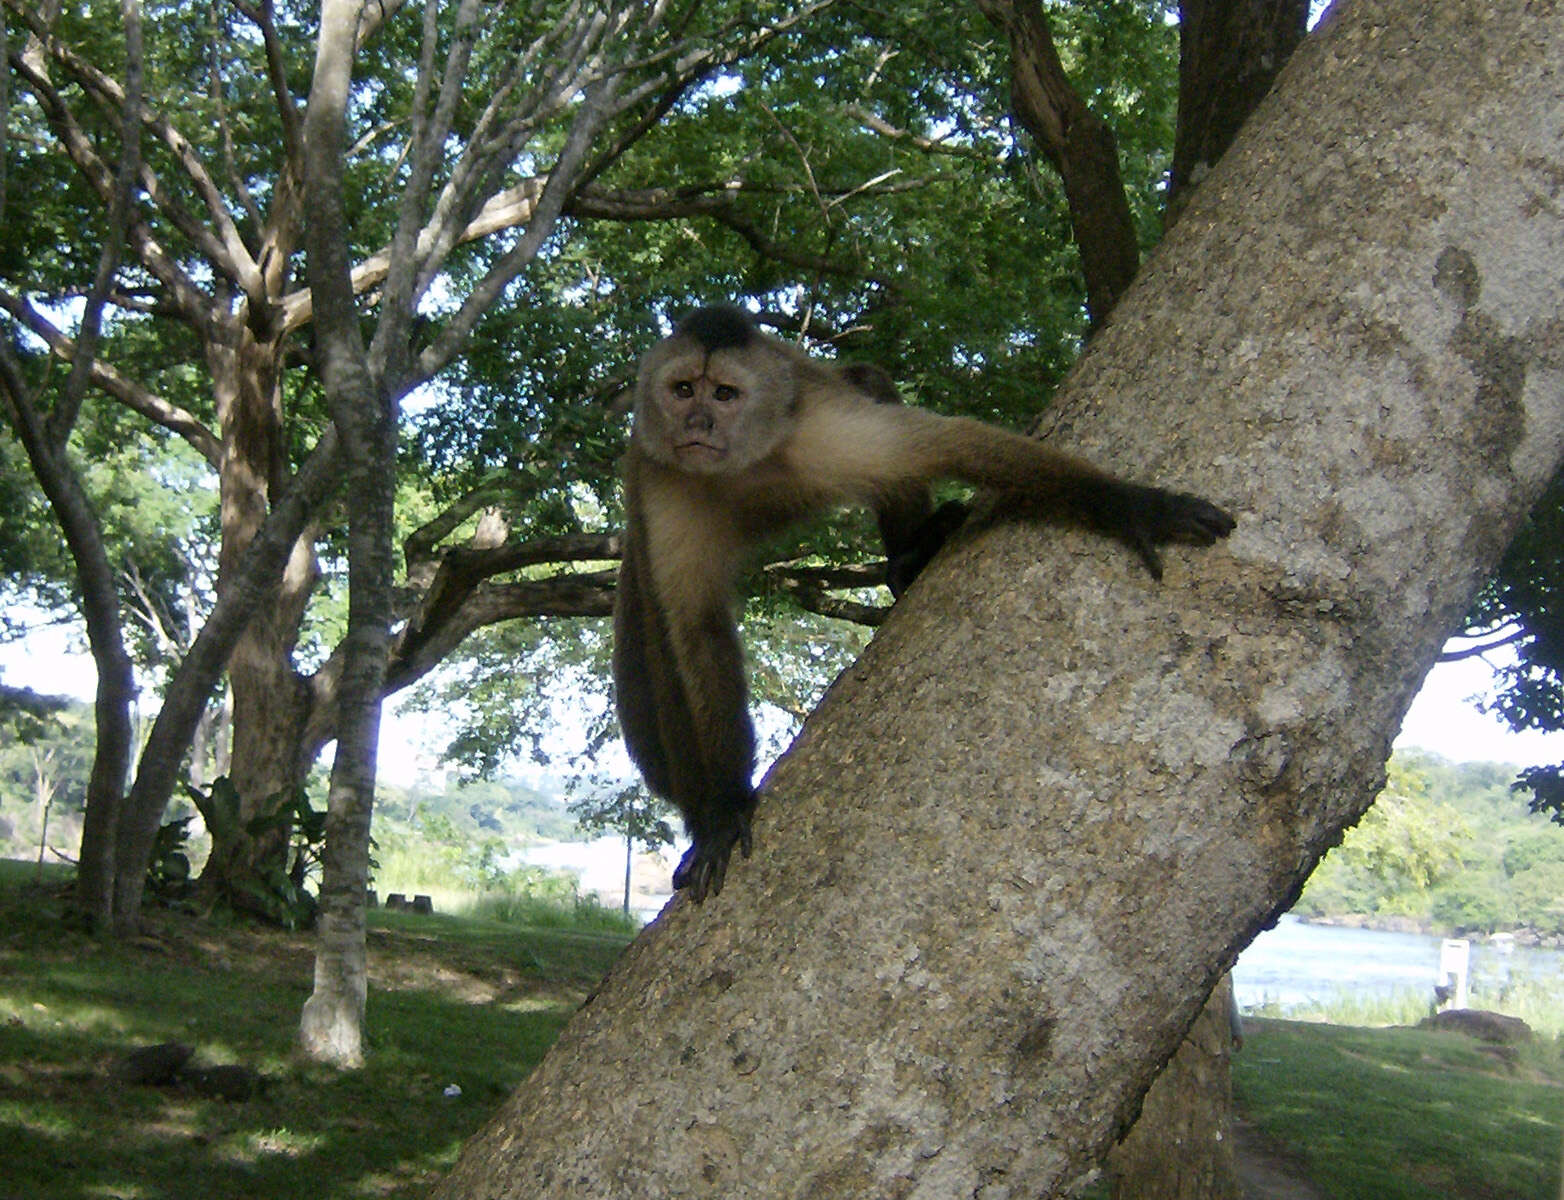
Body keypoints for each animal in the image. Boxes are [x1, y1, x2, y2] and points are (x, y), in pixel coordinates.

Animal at [609, 306, 1232, 901]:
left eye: (724, 395)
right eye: (684, 390)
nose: (697, 424)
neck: (745, 467)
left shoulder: (823, 432)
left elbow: (957, 445)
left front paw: (1131, 505)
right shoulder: (666, 483)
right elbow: (697, 633)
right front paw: (725, 808)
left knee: (869, 388)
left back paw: (912, 555)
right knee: (659, 642)